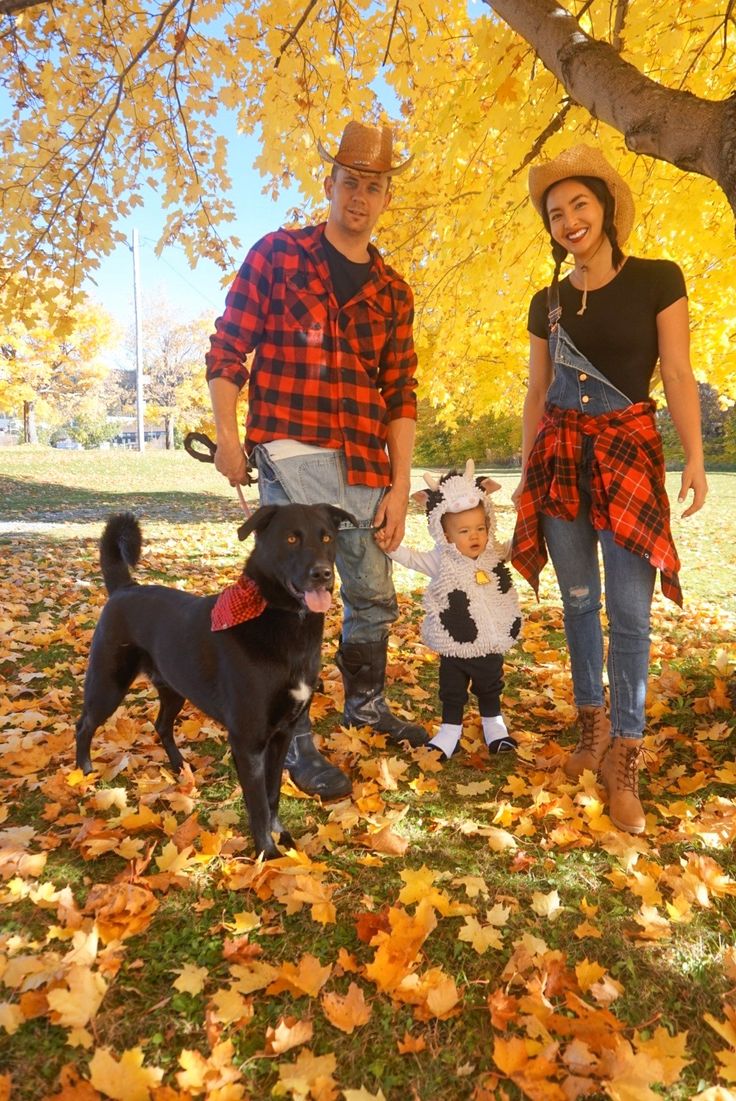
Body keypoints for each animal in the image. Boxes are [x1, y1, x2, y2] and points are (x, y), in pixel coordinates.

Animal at [73, 504, 354, 858]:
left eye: (327, 537)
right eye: (291, 538)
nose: (322, 574)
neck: (285, 621)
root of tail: (125, 587)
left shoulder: (283, 734)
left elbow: (273, 792)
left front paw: (280, 835)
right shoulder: (248, 742)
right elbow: (258, 805)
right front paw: (268, 853)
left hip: (173, 687)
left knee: (161, 724)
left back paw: (179, 766)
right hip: (108, 685)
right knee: (84, 725)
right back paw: (85, 773)